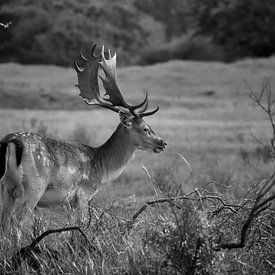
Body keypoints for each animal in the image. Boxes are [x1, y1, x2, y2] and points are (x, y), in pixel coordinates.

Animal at [0, 45, 166, 233]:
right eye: (146, 128)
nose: (163, 143)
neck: (101, 166)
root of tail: (11, 141)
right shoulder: (84, 194)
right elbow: (83, 223)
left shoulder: (69, 202)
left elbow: (71, 225)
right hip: (34, 186)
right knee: (16, 222)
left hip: (6, 187)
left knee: (4, 222)